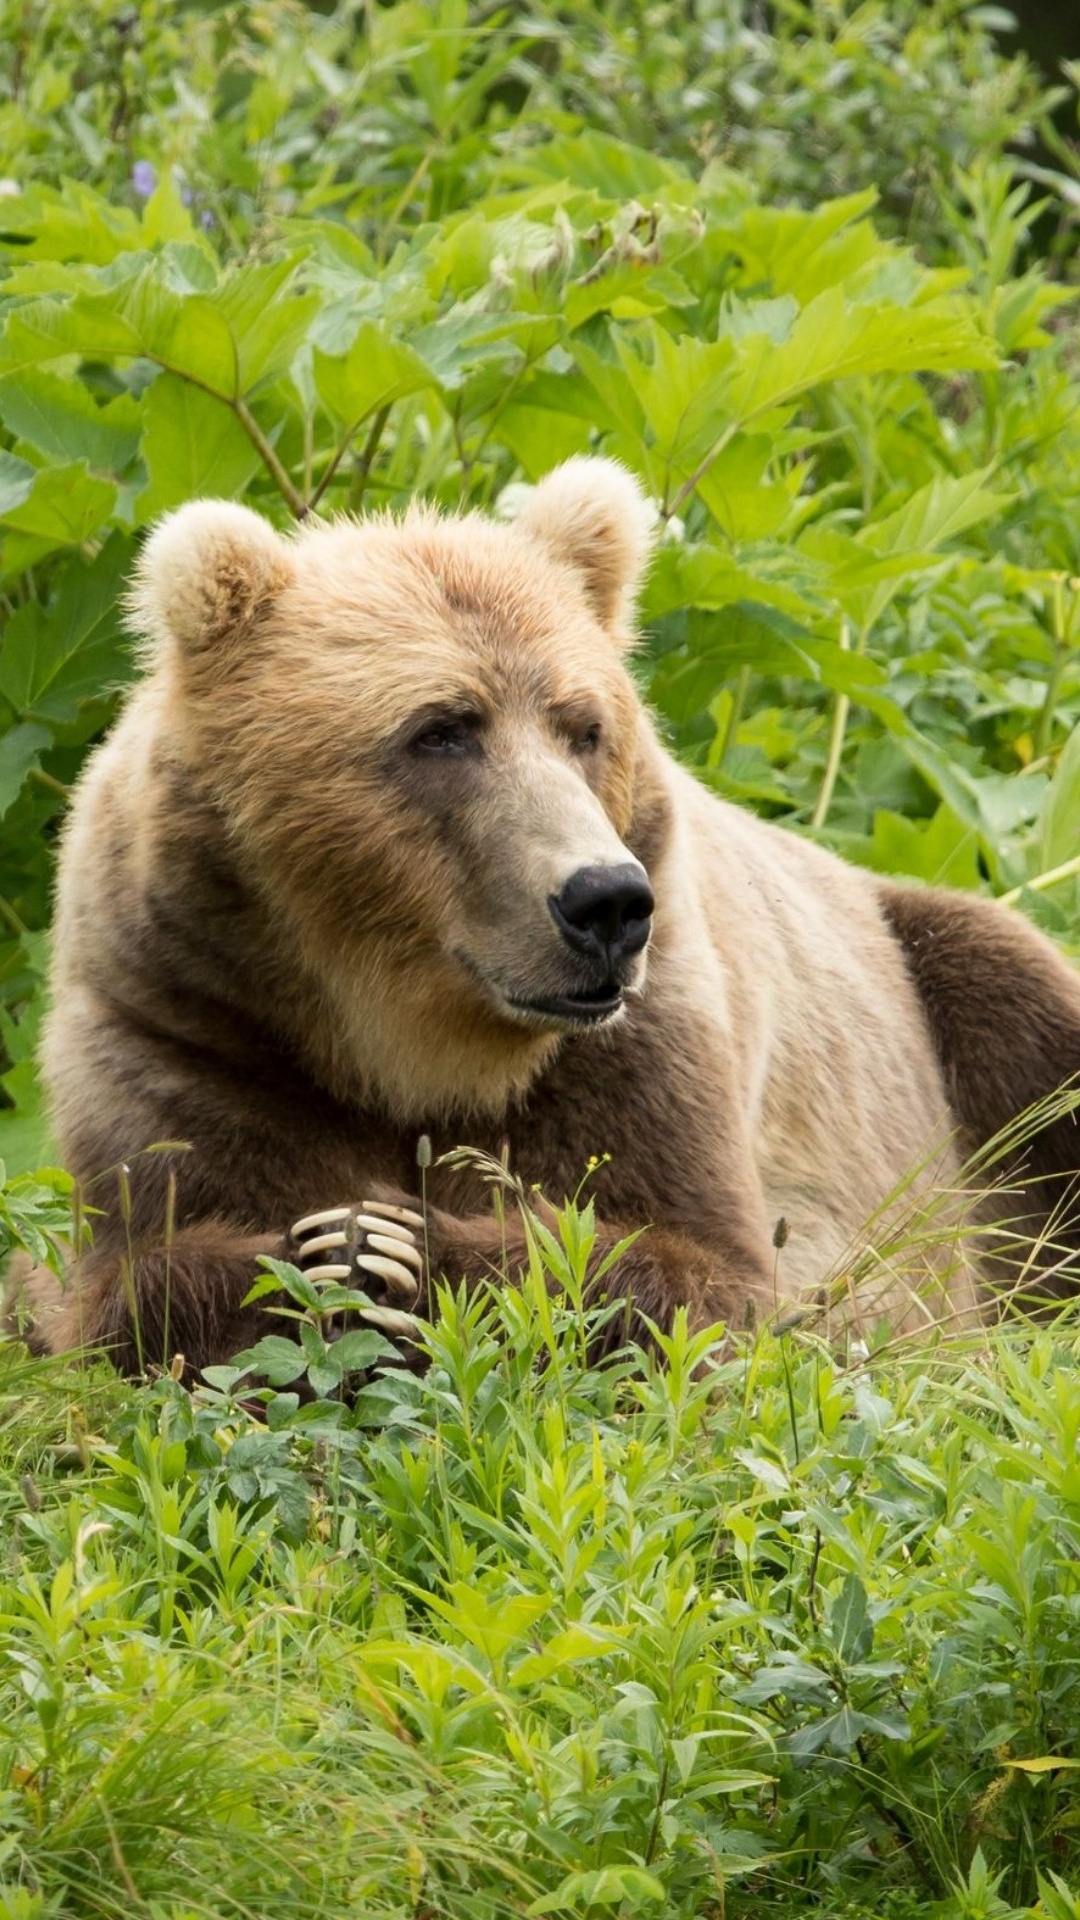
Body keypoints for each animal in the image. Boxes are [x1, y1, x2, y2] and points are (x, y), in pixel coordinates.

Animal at [15, 457, 1080, 1375]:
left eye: (584, 726)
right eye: (442, 731)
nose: (605, 901)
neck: (406, 1043)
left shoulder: (643, 1040)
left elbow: (702, 1274)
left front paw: (400, 1246)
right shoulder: (192, 1028)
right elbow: (130, 1274)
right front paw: (324, 1244)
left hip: (934, 974)